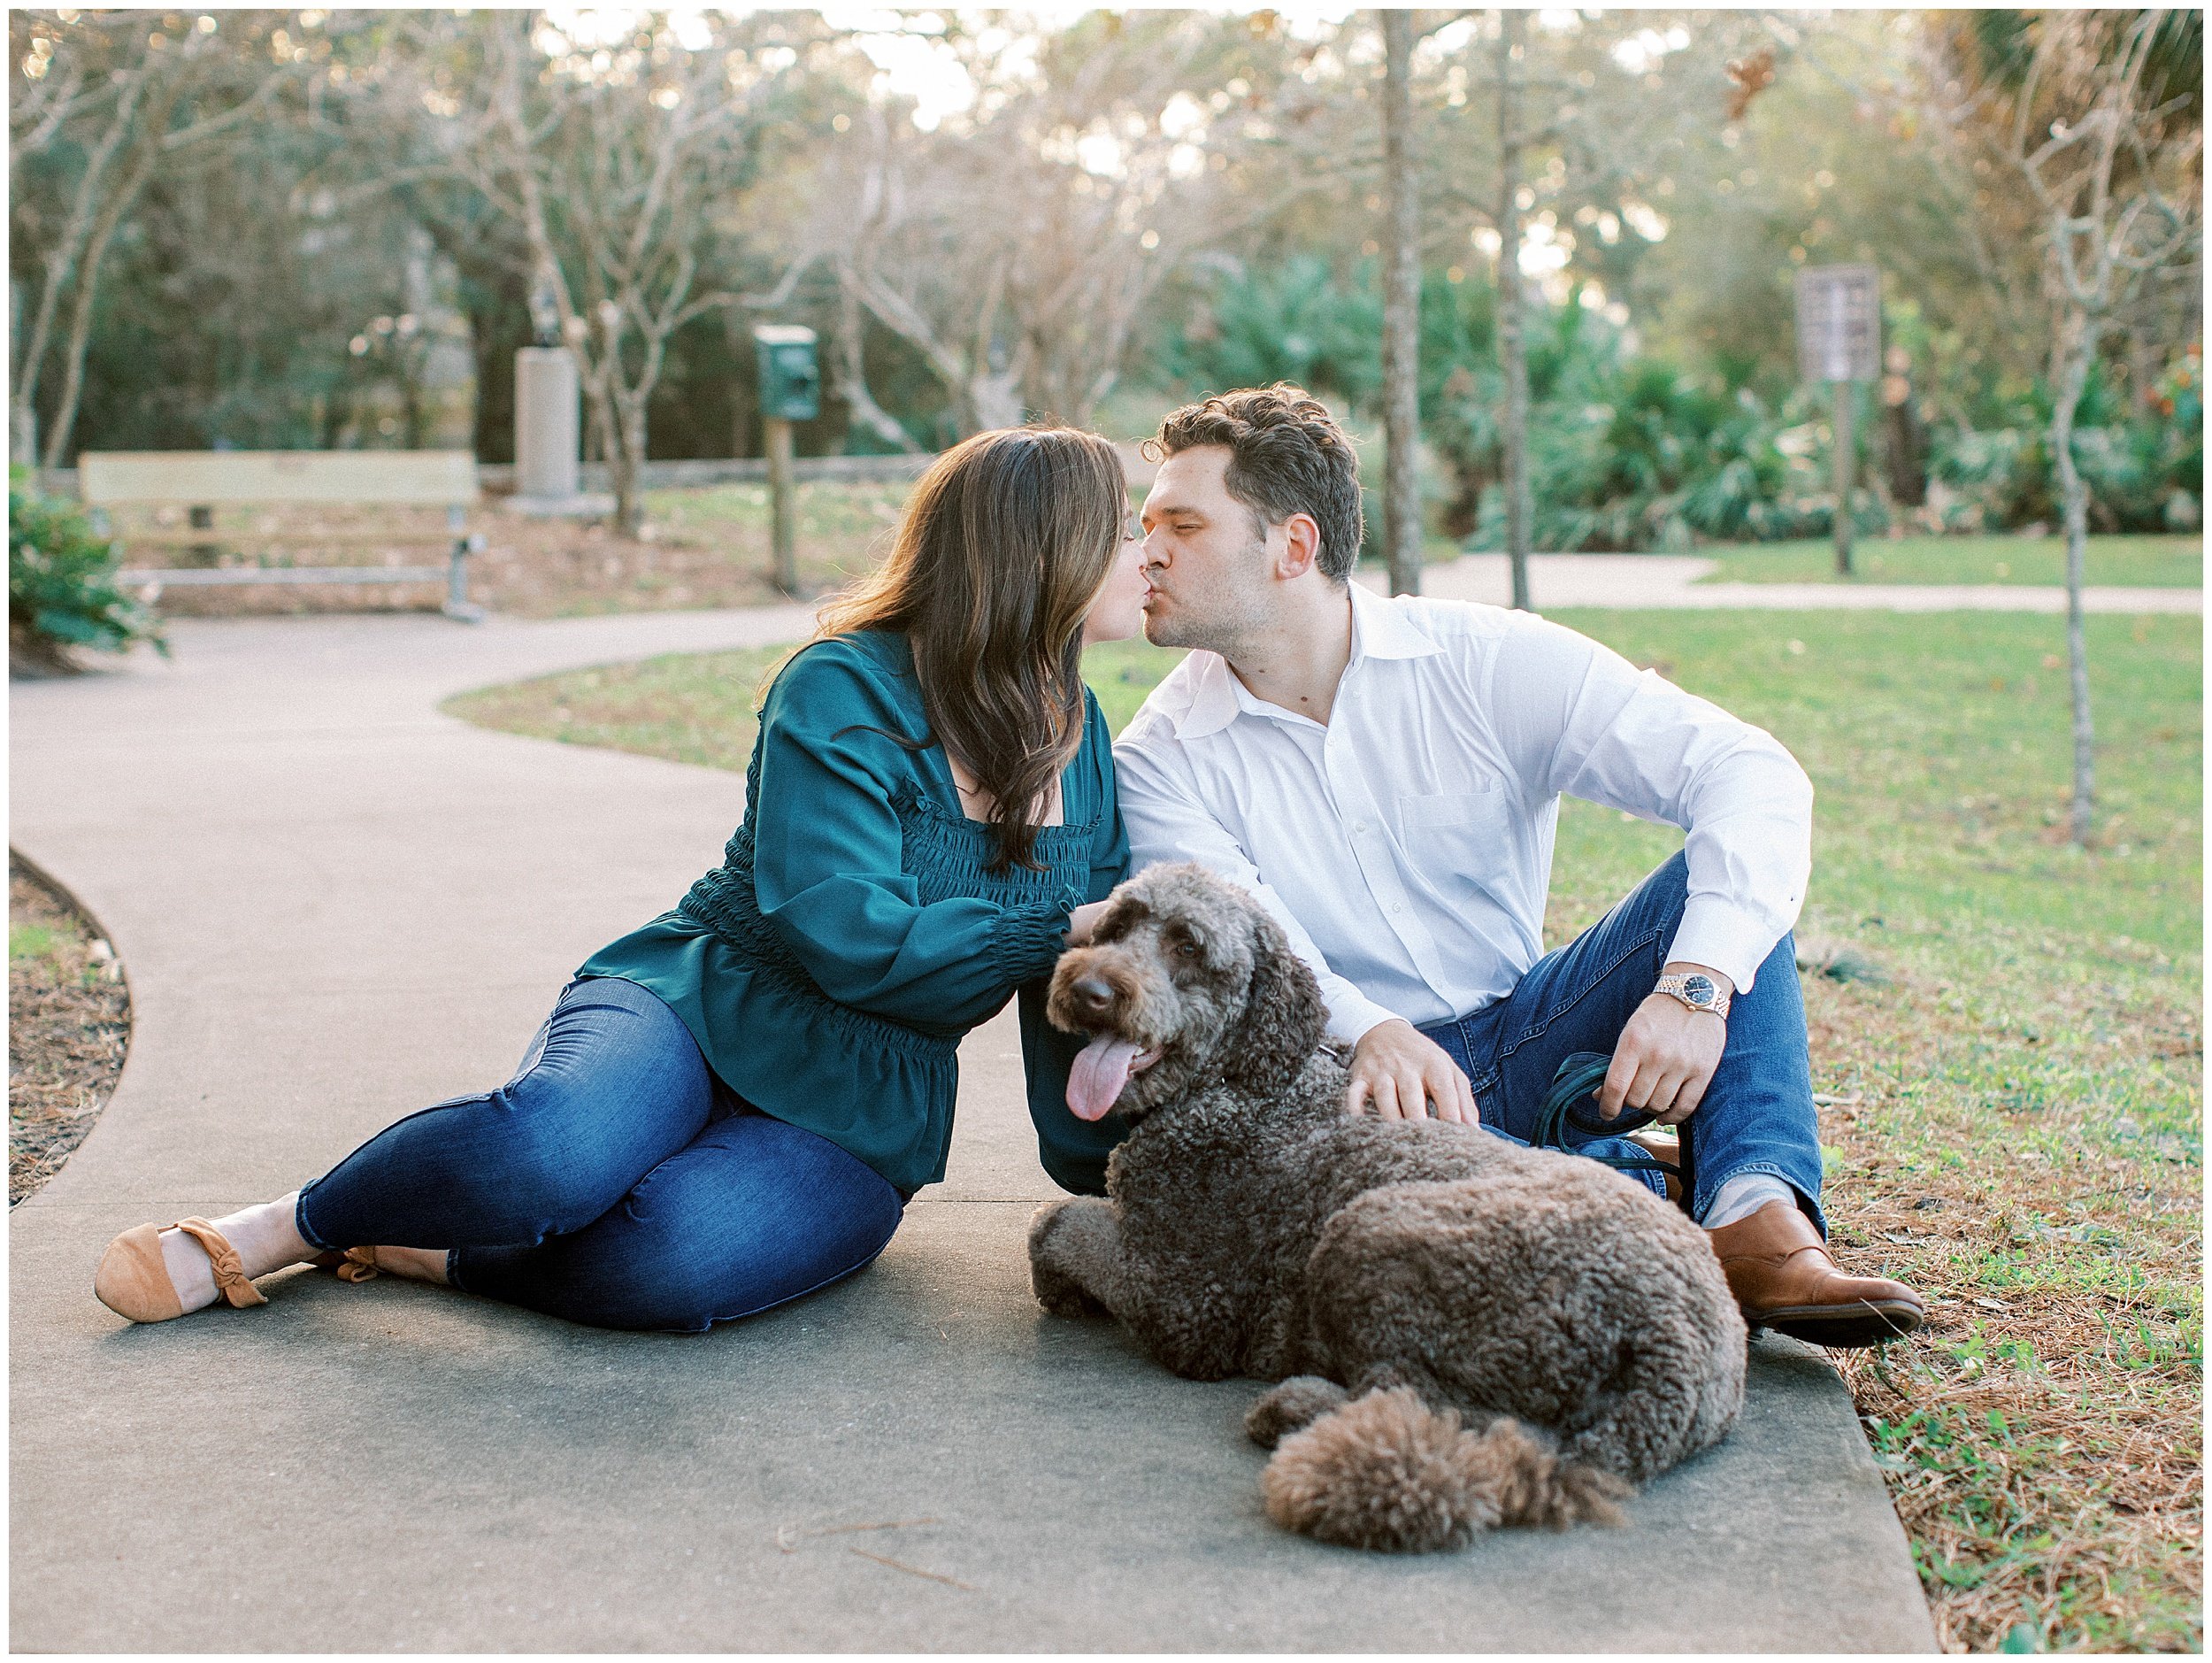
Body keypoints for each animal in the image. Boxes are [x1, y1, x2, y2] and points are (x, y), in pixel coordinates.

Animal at [1031, 862, 1743, 1557]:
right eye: (1119, 925)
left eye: (1188, 946)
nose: (1089, 988)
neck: (1247, 1080)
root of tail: (1678, 1339)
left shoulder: (1182, 1300)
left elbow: (1055, 1224)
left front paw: (1059, 1285)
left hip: (1367, 1229)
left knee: (1421, 1401)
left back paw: (1297, 1405)